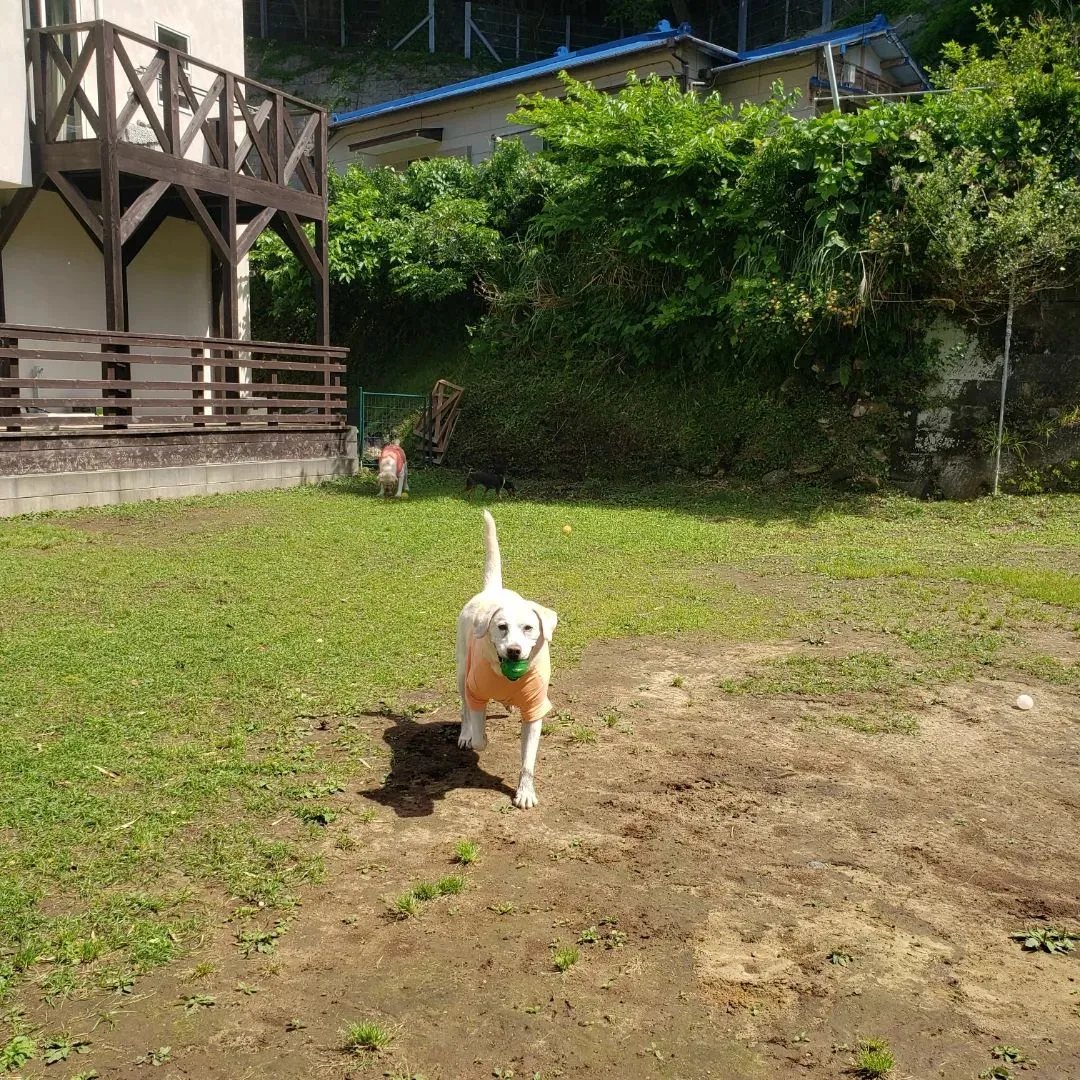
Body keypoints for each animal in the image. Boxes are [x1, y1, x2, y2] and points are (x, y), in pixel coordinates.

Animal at [453, 509, 557, 807]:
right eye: (501, 627)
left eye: (529, 628)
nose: (513, 650)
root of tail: (492, 591)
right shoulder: (476, 692)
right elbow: (478, 733)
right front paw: (480, 737)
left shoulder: (535, 708)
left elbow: (528, 760)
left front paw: (525, 792)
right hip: (461, 671)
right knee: (464, 708)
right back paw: (465, 733)